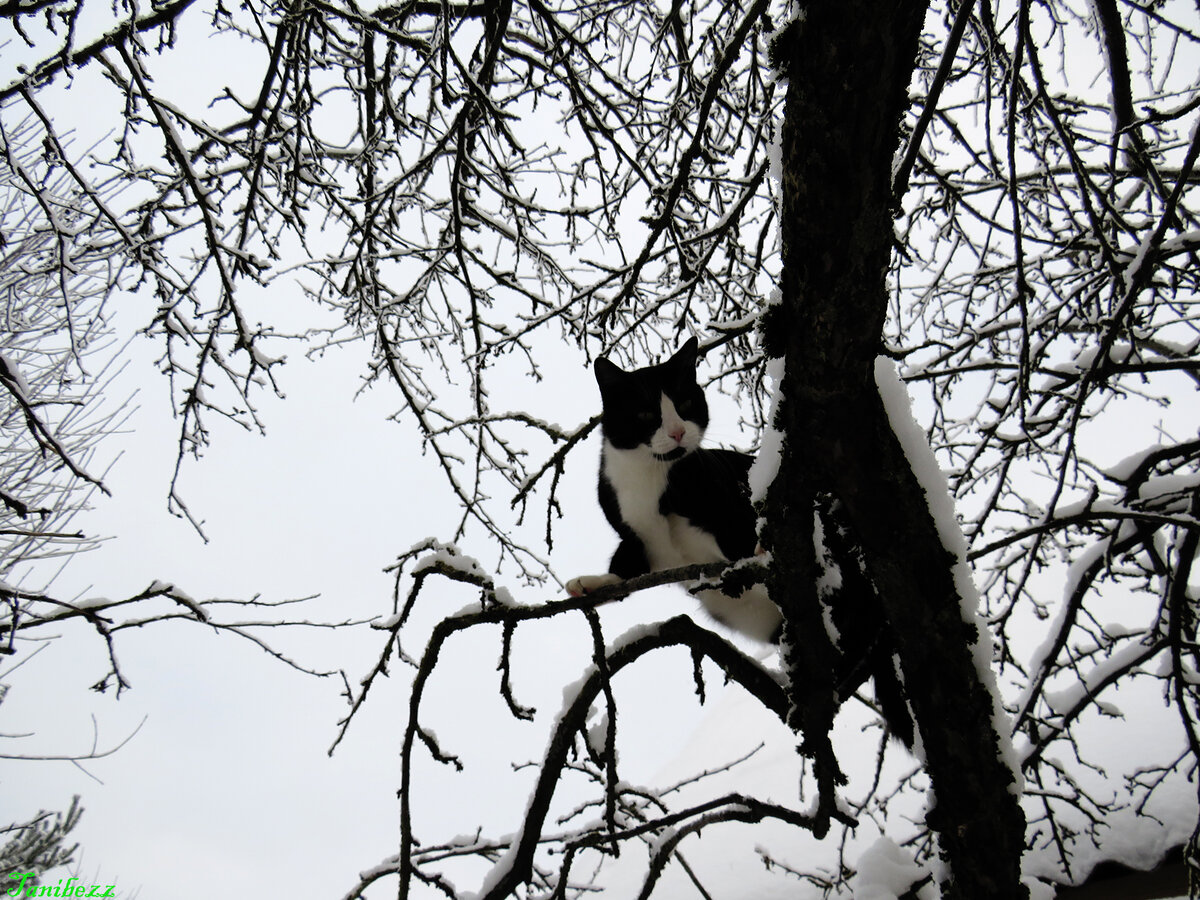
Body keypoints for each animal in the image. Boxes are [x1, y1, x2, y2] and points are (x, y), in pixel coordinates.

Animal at [566, 336, 782, 643]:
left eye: (686, 403)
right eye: (645, 414)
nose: (678, 432)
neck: (650, 476)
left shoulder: (725, 504)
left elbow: (740, 538)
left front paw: (762, 551)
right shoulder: (635, 534)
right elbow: (627, 564)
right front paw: (592, 584)